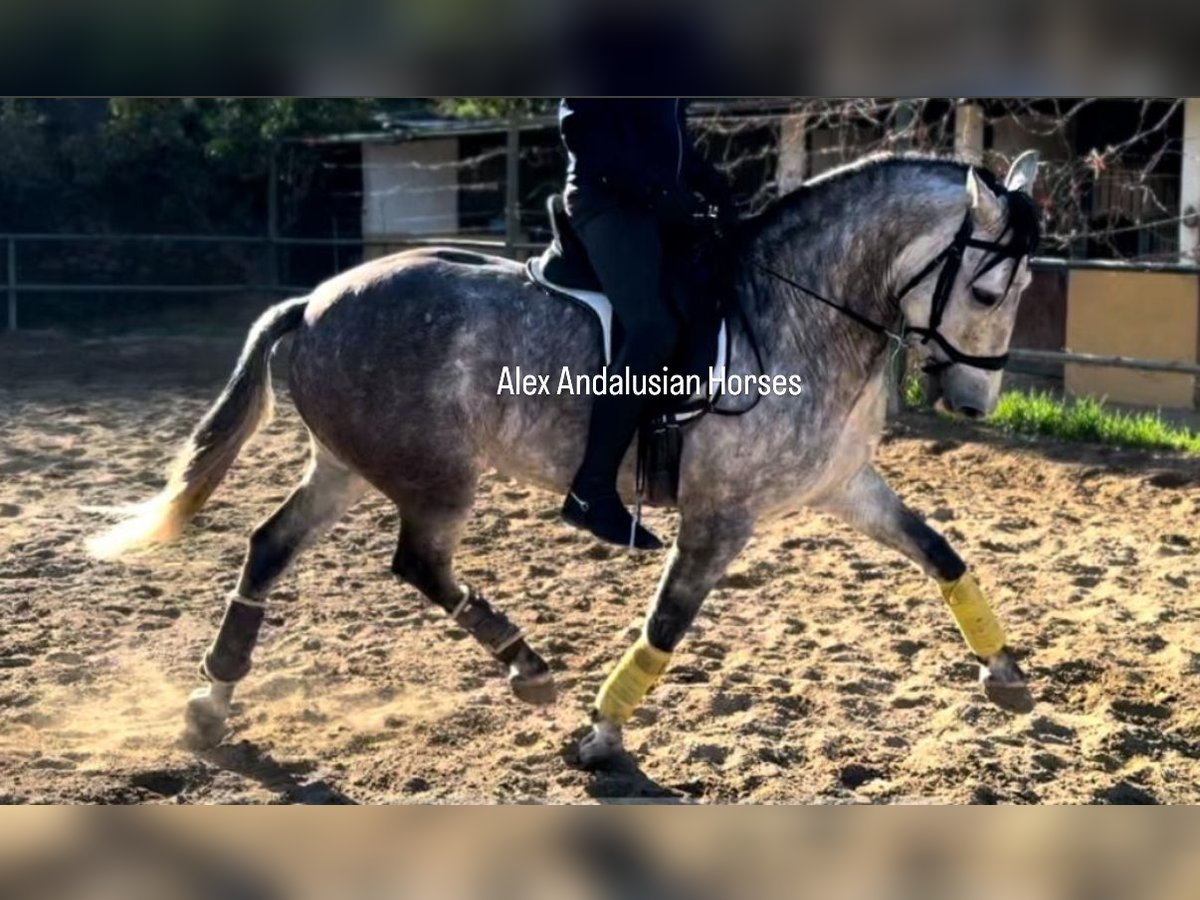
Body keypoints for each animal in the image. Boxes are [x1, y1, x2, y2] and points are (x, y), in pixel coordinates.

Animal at [91, 150, 1041, 768]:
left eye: (1022, 288)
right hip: (436, 477)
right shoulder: (719, 517)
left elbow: (942, 554)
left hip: (346, 465)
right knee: (418, 562)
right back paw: (528, 666)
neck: (798, 311)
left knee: (270, 546)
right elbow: (667, 624)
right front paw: (601, 734)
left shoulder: (846, 486)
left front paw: (1005, 674)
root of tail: (317, 300)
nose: (973, 405)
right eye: (989, 287)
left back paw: (210, 704)